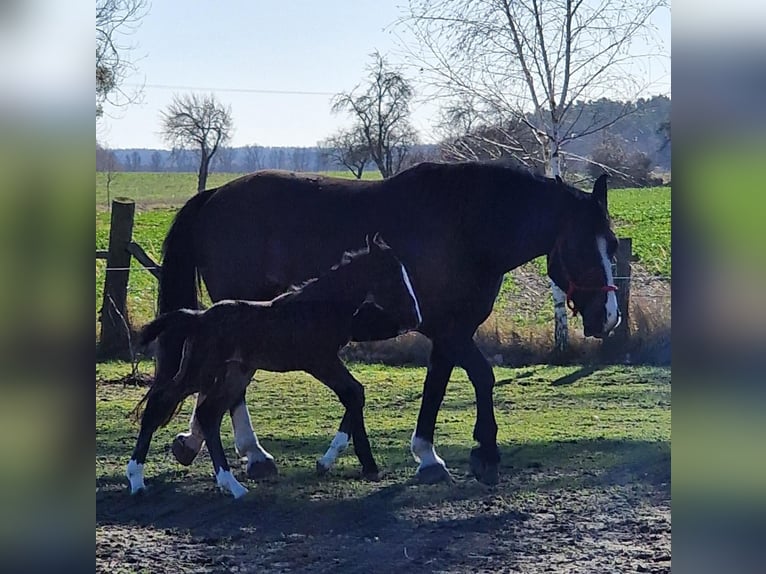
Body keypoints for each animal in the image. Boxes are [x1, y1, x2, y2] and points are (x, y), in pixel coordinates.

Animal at [129, 235, 424, 500]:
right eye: (392, 277)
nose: (415, 318)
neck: (320, 308)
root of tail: (197, 318)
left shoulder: (327, 361)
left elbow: (355, 395)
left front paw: (350, 463)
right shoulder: (321, 362)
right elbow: (353, 393)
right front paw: (349, 462)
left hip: (234, 374)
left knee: (208, 414)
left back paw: (232, 486)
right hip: (200, 372)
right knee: (160, 403)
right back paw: (136, 480)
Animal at [156, 162, 624, 486]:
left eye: (614, 245)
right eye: (582, 247)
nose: (609, 318)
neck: (465, 227)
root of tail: (214, 196)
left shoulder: (452, 332)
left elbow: (436, 386)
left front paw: (429, 457)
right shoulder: (447, 328)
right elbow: (482, 376)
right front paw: (484, 454)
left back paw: (198, 443)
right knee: (231, 387)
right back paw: (252, 454)